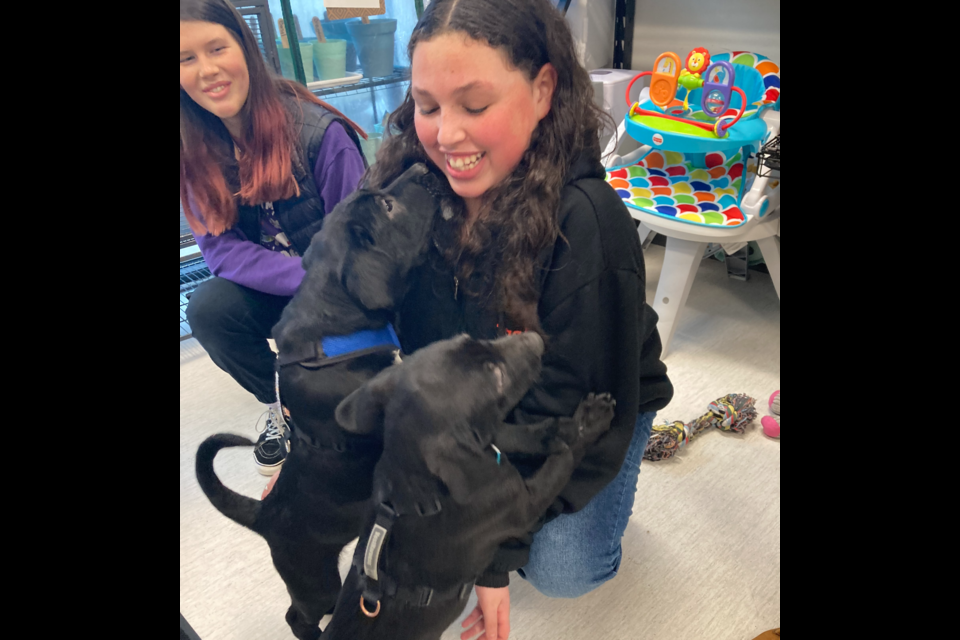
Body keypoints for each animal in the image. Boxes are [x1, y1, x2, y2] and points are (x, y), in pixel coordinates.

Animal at [196, 164, 450, 640]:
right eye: (388, 206)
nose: (424, 167)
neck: (334, 337)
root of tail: (265, 514)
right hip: (314, 579)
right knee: (297, 615)